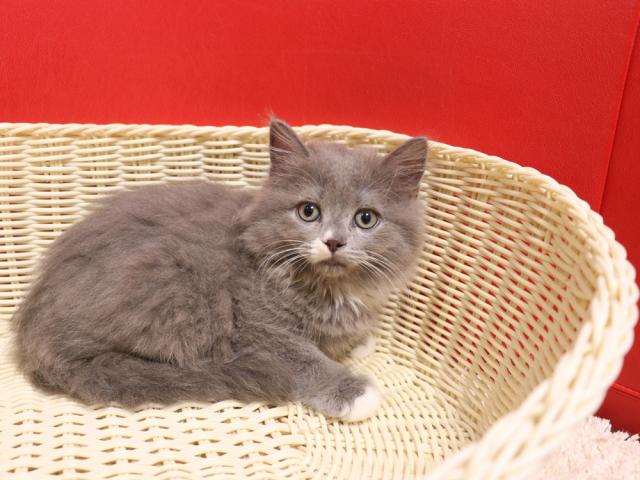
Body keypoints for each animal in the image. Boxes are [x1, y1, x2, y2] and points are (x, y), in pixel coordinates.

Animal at [13, 119, 427, 421]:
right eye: (309, 211)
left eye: (366, 218)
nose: (334, 242)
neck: (328, 286)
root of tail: (34, 336)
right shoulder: (257, 327)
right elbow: (305, 358)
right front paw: (354, 392)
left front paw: (358, 340)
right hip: (173, 284)